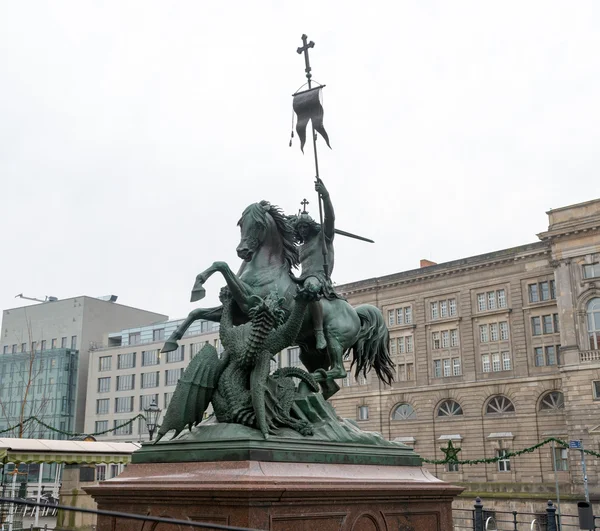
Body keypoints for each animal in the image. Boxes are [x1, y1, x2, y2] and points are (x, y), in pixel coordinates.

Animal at [162, 202, 394, 396]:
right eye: (241, 224)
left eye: (257, 224)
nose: (242, 251)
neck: (266, 268)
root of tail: (355, 311)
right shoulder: (238, 313)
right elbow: (197, 311)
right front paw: (171, 340)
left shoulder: (251, 302)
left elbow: (223, 266)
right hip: (310, 354)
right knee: (331, 385)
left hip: (334, 338)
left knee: (338, 371)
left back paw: (294, 379)